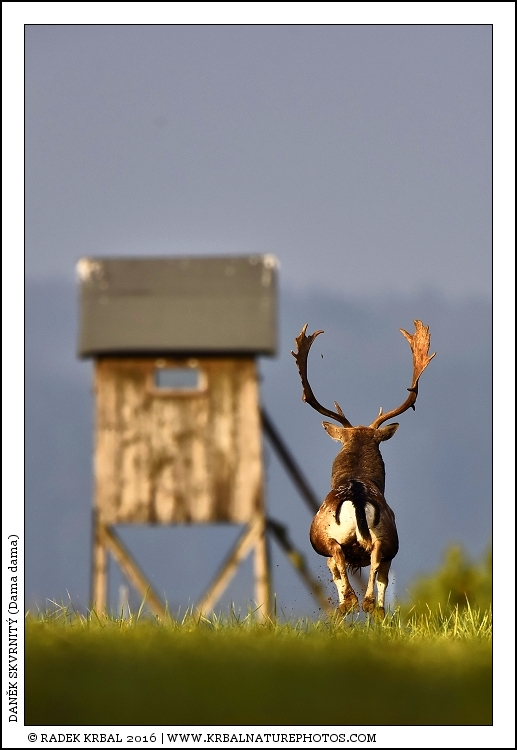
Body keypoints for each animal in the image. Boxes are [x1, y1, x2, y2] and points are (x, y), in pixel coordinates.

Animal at [292, 320, 435, 618]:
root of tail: (356, 497)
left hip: (336, 541)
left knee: (350, 586)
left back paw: (347, 608)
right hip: (385, 541)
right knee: (371, 578)